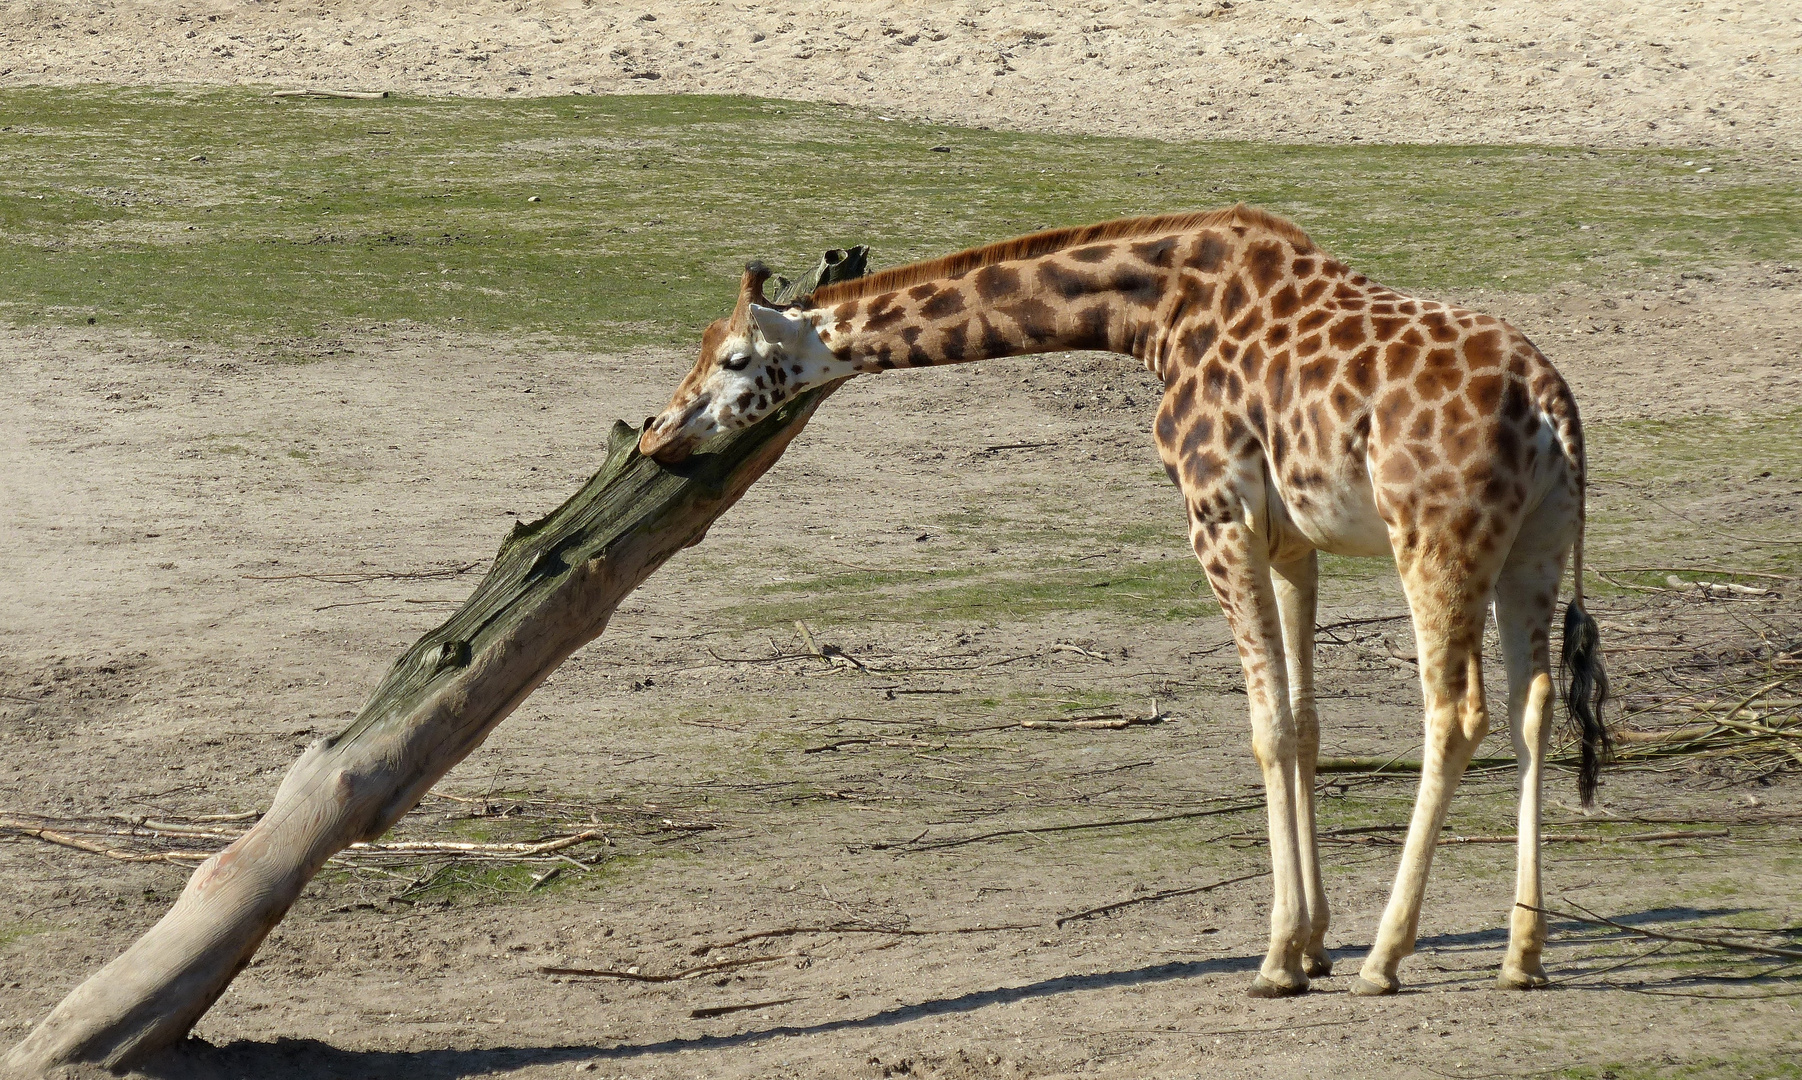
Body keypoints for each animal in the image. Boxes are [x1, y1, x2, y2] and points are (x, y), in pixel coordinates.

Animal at [641, 207, 1614, 1002]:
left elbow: (1265, 729)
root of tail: (1551, 405)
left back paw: (1388, 958)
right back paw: (1522, 954)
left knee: (1456, 712)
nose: (657, 433)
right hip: (1531, 545)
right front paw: (1312, 947)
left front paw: (1277, 960)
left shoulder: (1215, 515)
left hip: (1435, 539)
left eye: (733, 359)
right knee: (1533, 707)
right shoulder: (1290, 540)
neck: (1160, 313)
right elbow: (1303, 725)